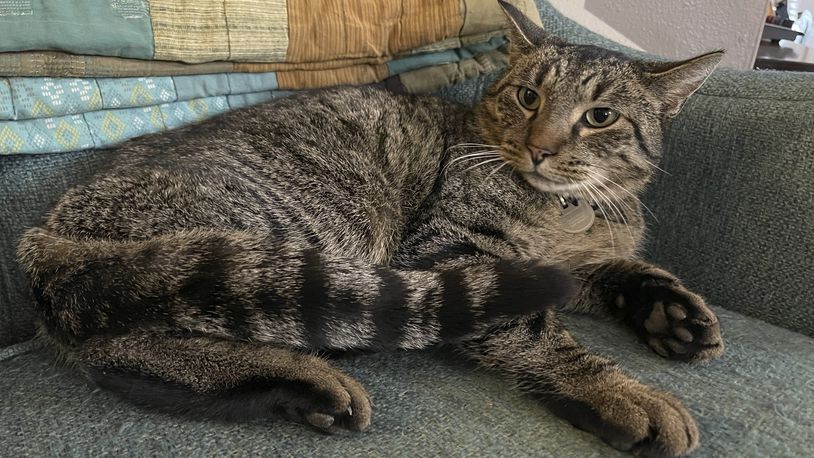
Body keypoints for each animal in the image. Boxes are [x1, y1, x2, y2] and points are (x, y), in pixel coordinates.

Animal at [14, 1, 728, 456]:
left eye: (600, 117)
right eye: (529, 98)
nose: (541, 148)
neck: (569, 212)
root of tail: (45, 234)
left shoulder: (574, 266)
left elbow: (630, 269)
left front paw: (676, 315)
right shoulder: (456, 254)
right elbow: (541, 338)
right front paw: (623, 393)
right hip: (299, 235)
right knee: (125, 341)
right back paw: (305, 379)